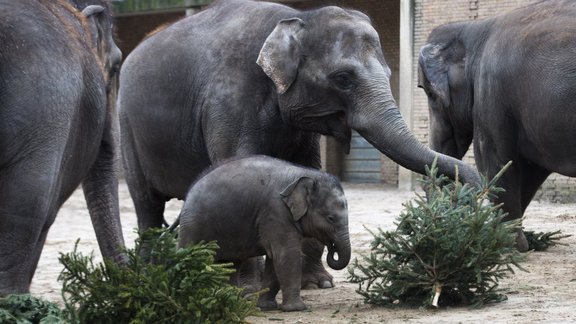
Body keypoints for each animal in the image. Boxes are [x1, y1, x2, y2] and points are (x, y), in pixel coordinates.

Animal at [118, 0, 482, 288]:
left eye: (391, 73)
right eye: (343, 78)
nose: (473, 191)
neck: (295, 18)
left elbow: (308, 170)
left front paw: (318, 284)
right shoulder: (228, 102)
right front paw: (249, 290)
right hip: (126, 128)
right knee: (146, 205)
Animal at [179, 156, 352, 312]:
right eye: (330, 218)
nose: (332, 248)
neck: (304, 175)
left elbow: (274, 259)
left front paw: (266, 307)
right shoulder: (276, 212)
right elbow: (286, 255)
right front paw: (297, 309)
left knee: (230, 264)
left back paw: (232, 301)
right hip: (194, 226)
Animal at [418, 0, 576, 252]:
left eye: (430, 93)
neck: (474, 30)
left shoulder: (492, 90)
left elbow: (493, 160)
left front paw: (506, 244)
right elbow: (530, 170)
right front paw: (515, 242)